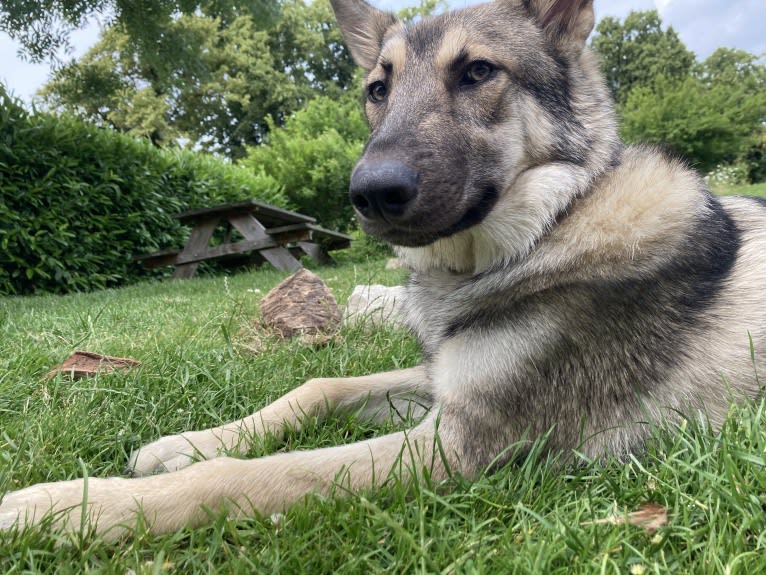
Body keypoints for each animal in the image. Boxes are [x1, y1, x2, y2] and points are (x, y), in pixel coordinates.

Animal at [1, 0, 766, 540]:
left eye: (478, 72)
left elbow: (241, 479)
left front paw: (64, 507)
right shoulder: (438, 384)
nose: (368, 193)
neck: (550, 227)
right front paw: (184, 443)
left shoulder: (457, 447)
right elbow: (317, 385)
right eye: (377, 88)